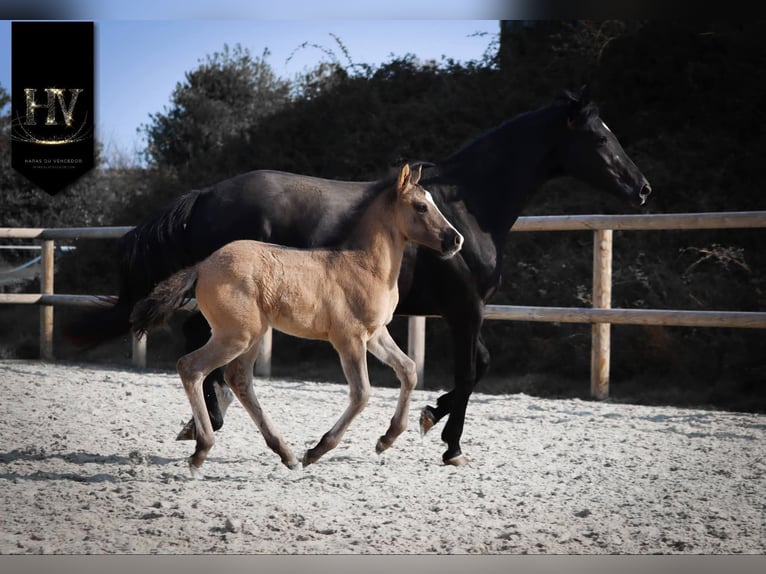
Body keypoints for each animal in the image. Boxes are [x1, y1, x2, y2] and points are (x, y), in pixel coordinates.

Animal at [129, 164, 463, 474]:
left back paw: (285, 454)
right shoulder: (348, 338)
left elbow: (408, 370)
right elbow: (362, 393)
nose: (455, 240)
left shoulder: (375, 333)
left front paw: (387, 439)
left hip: (253, 335)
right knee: (191, 367)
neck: (365, 266)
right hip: (235, 335)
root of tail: (202, 265)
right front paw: (316, 451)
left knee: (238, 378)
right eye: (420, 206)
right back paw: (203, 450)